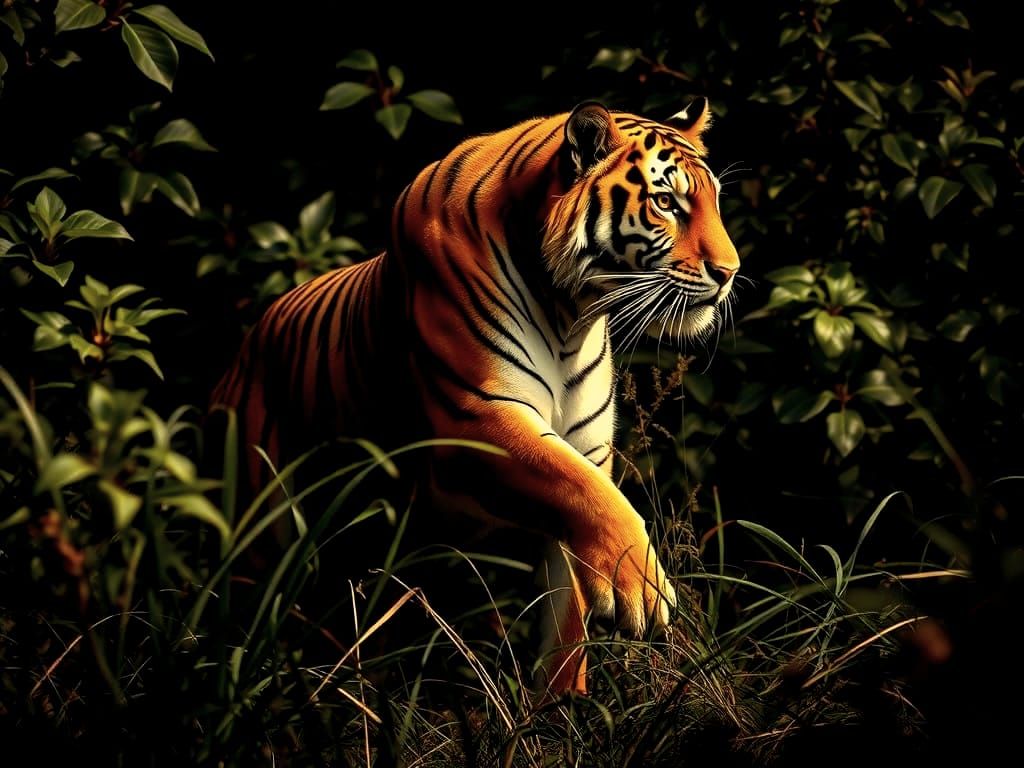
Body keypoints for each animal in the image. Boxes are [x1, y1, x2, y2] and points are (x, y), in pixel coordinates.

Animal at [210, 98, 740, 696]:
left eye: (716, 202)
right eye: (666, 202)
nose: (730, 272)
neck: (571, 314)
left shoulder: (585, 449)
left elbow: (568, 610)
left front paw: (562, 706)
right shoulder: (476, 419)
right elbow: (592, 497)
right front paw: (641, 591)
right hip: (259, 530)